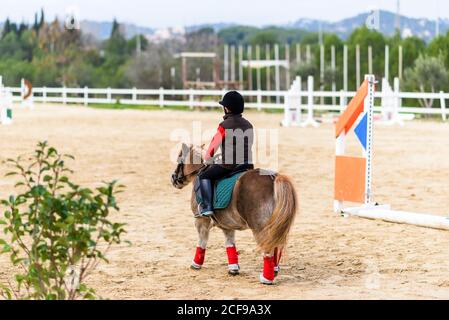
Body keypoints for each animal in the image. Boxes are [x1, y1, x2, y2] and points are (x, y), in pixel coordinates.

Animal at [172, 144, 298, 284]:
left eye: (179, 159)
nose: (173, 178)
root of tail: (274, 178)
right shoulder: (227, 225)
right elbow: (230, 244)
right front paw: (233, 268)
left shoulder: (201, 221)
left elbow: (202, 242)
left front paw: (196, 264)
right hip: (275, 225)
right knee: (276, 246)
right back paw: (274, 270)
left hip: (260, 228)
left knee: (268, 249)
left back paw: (266, 278)